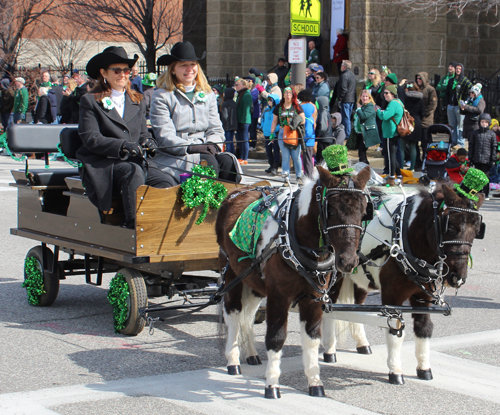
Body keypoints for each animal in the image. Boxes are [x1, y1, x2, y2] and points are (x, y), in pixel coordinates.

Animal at [215, 166, 372, 400]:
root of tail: (237, 192)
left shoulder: (314, 298)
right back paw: (233, 361)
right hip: (232, 276)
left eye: (363, 212)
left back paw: (251, 353)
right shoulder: (278, 297)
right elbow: (275, 339)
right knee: (233, 314)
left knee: (248, 316)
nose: (348, 261)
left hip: (254, 282)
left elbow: (312, 339)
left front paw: (315, 382)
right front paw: (272, 385)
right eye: (331, 210)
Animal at [322, 184, 482, 386]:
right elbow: (395, 328)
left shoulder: (424, 296)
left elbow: (424, 327)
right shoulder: (392, 297)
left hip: (360, 280)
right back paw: (329, 350)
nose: (458, 278)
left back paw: (362, 343)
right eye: (451, 227)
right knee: (330, 310)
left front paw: (424, 368)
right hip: (336, 277)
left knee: (356, 307)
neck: (404, 239)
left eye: (477, 230)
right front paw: (395, 370)